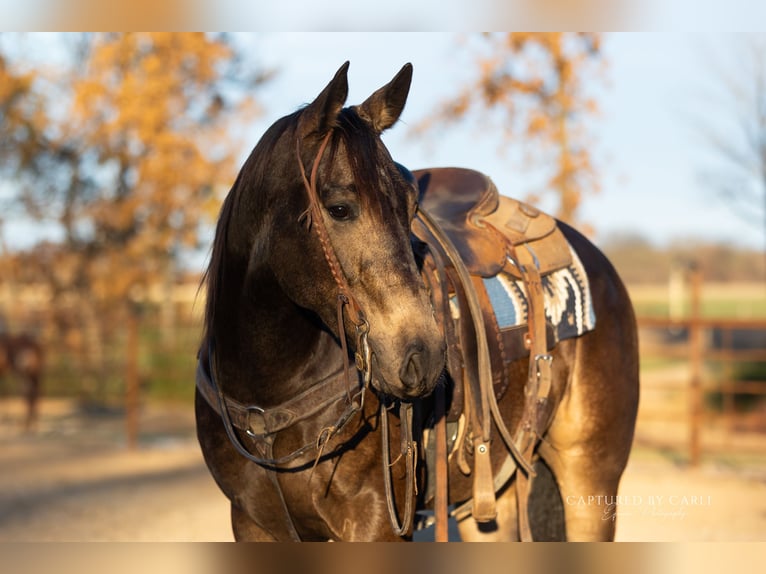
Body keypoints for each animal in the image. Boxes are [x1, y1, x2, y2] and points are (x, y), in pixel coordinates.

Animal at [195, 62, 639, 541]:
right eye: (338, 208)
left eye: (410, 207)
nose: (422, 357)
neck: (268, 396)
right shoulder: (252, 522)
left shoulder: (376, 524)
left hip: (590, 480)